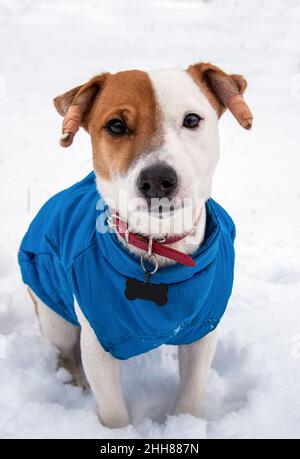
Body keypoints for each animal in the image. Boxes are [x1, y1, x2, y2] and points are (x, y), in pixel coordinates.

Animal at [18, 63, 252, 430]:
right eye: (116, 125)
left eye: (191, 120)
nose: (157, 179)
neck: (157, 247)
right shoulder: (98, 342)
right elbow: (113, 410)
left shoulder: (202, 331)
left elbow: (191, 393)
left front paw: (185, 423)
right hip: (54, 317)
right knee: (64, 353)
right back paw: (74, 383)